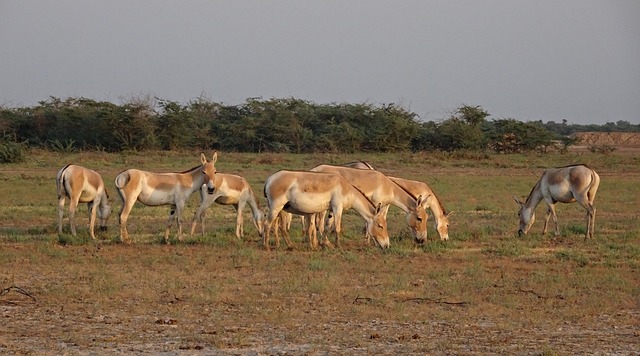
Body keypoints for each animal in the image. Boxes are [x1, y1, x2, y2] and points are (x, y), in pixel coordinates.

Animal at [262, 170, 390, 250]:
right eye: (380, 226)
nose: (387, 245)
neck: (346, 188)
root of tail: (269, 179)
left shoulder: (332, 209)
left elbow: (327, 226)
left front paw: (324, 244)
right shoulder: (338, 207)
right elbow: (337, 227)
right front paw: (338, 246)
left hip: (282, 209)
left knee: (280, 227)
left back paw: (289, 246)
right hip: (276, 207)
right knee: (267, 224)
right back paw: (266, 246)